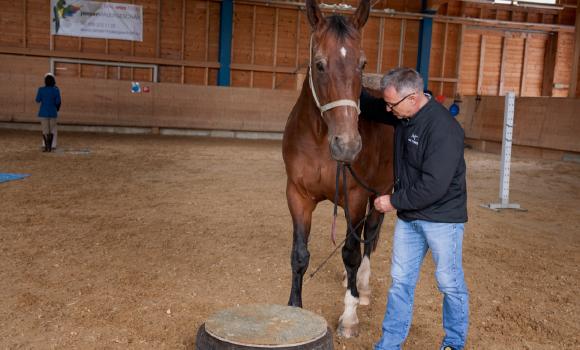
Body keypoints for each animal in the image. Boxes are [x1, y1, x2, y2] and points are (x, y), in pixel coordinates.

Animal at [284, 0, 396, 340]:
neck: (321, 138)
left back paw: (362, 286)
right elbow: (300, 255)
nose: (347, 145)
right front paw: (294, 309)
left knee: (368, 238)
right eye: (320, 64)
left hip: (380, 193)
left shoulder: (356, 198)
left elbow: (350, 252)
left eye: (362, 63)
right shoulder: (297, 196)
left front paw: (349, 317)